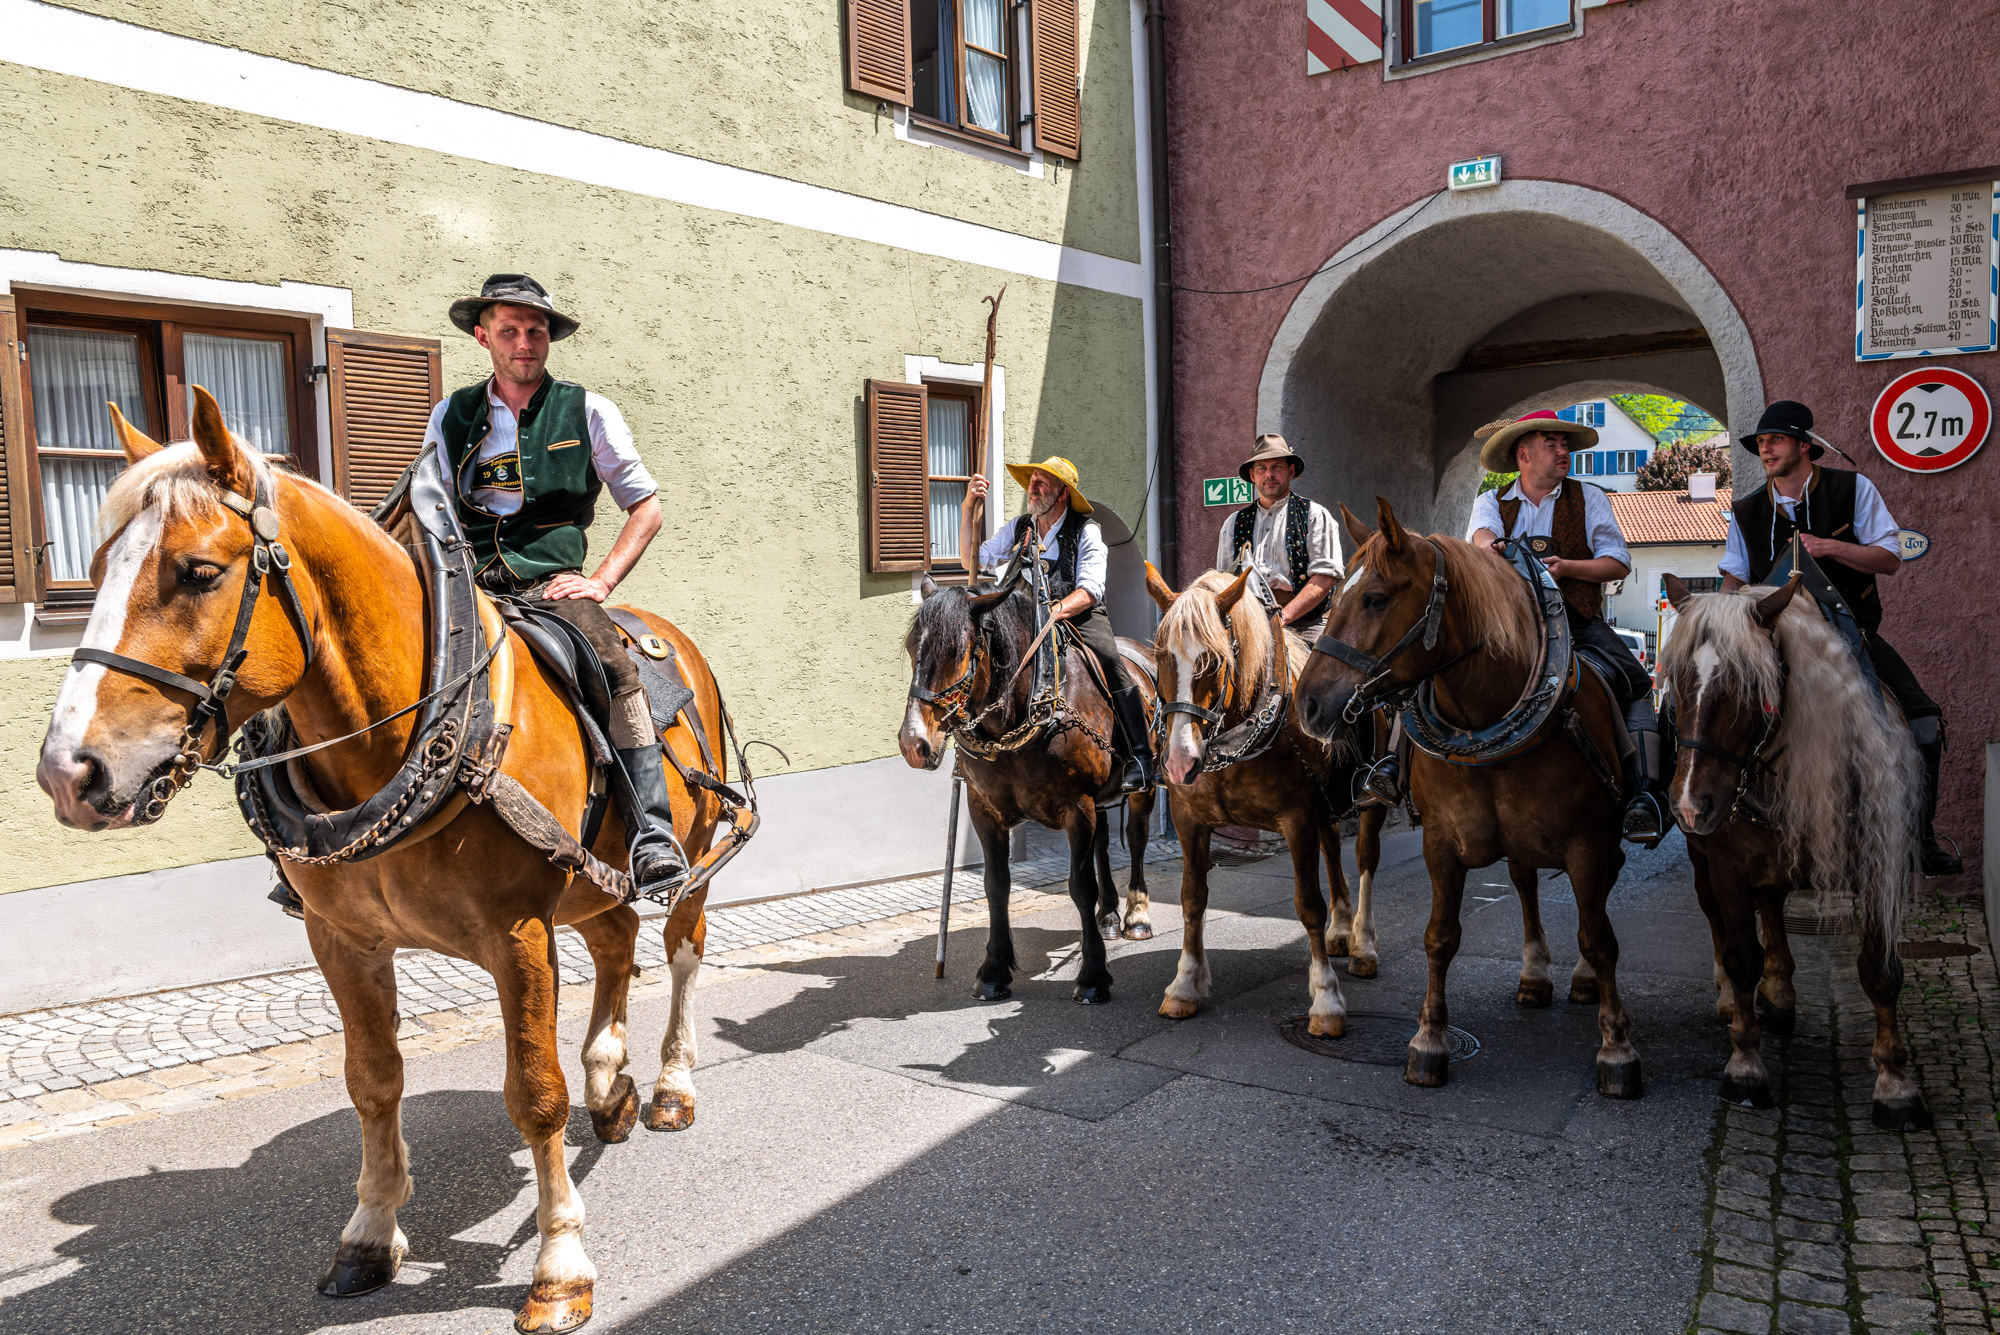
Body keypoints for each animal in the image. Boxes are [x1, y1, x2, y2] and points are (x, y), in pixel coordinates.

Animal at [37, 390, 731, 1333]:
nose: (69, 772)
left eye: (198, 571)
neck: (415, 730)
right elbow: (371, 1080)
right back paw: (609, 1076)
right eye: (98, 564)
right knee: (616, 940)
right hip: (588, 877)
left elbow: (534, 1091)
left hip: (689, 855)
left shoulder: (518, 932)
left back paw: (668, 1084)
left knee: (680, 949)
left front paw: (559, 1262)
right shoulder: (343, 938)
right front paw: (370, 1231)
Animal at [899, 574, 1157, 1004]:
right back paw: (1108, 915)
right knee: (1104, 844)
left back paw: (1136, 916)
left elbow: (1080, 887)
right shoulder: (983, 810)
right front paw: (994, 970)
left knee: (1136, 840)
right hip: (1100, 800)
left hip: (1143, 788)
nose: (913, 743)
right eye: (909, 646)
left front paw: (1093, 976)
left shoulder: (1077, 807)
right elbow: (996, 885)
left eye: (957, 650)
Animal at [1146, 566, 1389, 1035]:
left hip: (1370, 799)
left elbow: (1308, 904)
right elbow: (1192, 898)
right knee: (1333, 847)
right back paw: (1341, 929)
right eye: (1161, 656)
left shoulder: (1298, 819)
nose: (1180, 761)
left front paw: (1326, 1000)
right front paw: (1185, 984)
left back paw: (1364, 944)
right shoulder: (1189, 820)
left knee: (1366, 859)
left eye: (1214, 660)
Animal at [1293, 499, 1642, 1097]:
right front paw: (1428, 1041)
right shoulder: (1442, 841)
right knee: (1523, 883)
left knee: (1595, 896)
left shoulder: (1586, 842)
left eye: (1376, 597)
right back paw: (1534, 974)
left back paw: (1578, 979)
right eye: (1335, 598)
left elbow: (1599, 936)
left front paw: (1617, 1048)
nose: (1309, 704)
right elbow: (1440, 937)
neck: (1489, 717)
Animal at [1658, 573, 1930, 1127]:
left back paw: (1780, 993)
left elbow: (1880, 969)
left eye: (1749, 684)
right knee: (1725, 924)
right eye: (1674, 680)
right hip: (1705, 865)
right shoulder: (1726, 869)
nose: (1690, 805)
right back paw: (1740, 999)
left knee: (1773, 906)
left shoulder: (1878, 866)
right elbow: (1741, 956)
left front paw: (1895, 1083)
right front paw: (1745, 1066)